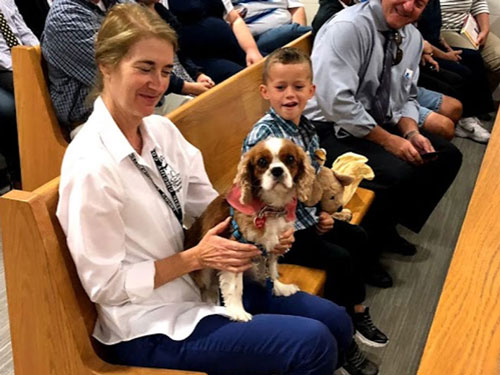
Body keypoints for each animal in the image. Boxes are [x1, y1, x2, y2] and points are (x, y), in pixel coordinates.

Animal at [186, 138, 314, 324]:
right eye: (262, 162)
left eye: (290, 159)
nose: (277, 170)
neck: (269, 208)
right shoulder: (234, 251)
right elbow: (235, 286)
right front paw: (237, 311)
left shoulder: (273, 244)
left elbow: (272, 267)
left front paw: (279, 287)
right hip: (203, 268)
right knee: (206, 284)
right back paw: (210, 298)